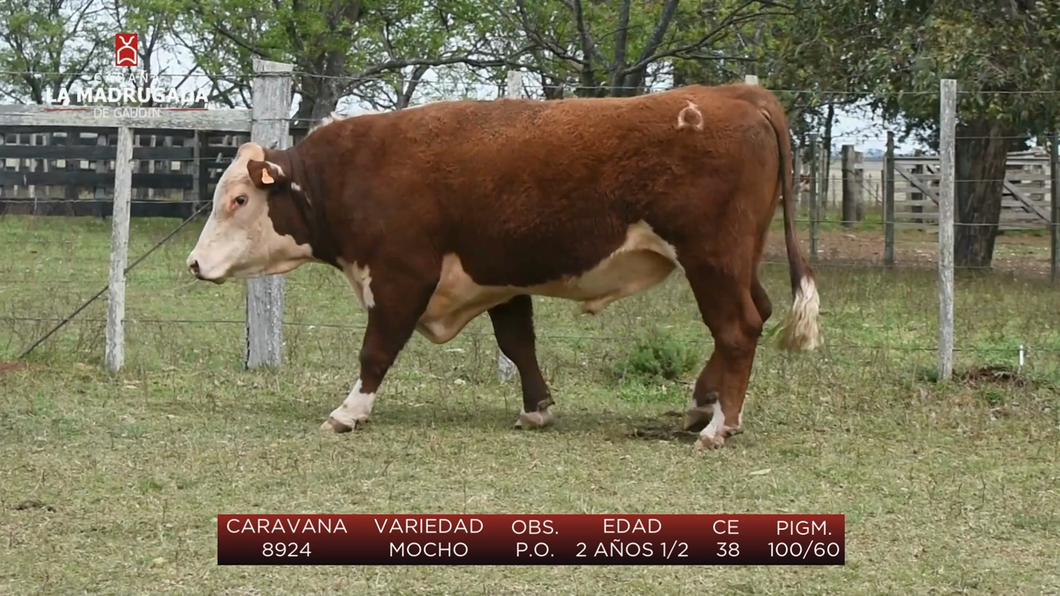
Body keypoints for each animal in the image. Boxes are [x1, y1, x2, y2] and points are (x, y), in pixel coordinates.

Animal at [186, 81, 822, 447]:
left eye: (238, 200)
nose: (193, 263)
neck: (351, 174)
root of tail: (738, 93)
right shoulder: (499, 277)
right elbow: (518, 343)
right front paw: (537, 410)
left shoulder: (402, 276)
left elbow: (376, 349)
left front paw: (349, 411)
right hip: (737, 259)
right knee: (756, 314)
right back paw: (701, 407)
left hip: (712, 257)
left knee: (736, 328)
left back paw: (717, 426)